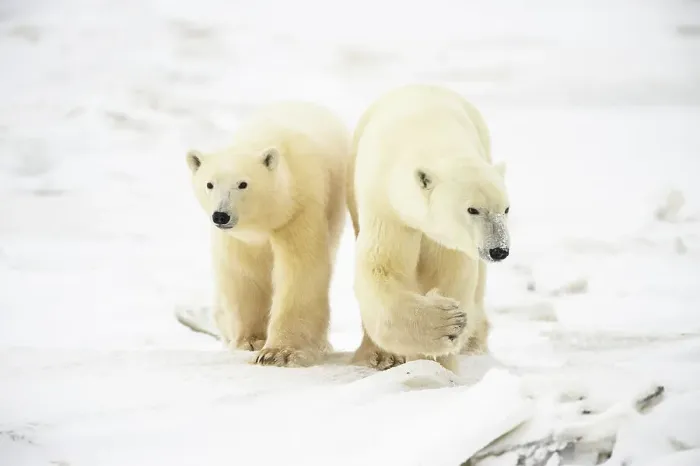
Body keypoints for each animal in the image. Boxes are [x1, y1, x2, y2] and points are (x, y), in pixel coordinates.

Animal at [186, 101, 350, 367]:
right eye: (209, 184)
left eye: (243, 184)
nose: (221, 215)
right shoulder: (237, 238)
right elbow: (244, 273)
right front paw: (251, 340)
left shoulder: (299, 209)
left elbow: (299, 270)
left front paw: (279, 352)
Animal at [346, 84, 510, 373]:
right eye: (472, 209)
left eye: (506, 209)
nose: (499, 250)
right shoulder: (385, 205)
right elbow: (382, 267)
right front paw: (447, 323)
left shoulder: (448, 239)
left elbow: (451, 275)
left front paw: (442, 361)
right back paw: (379, 355)